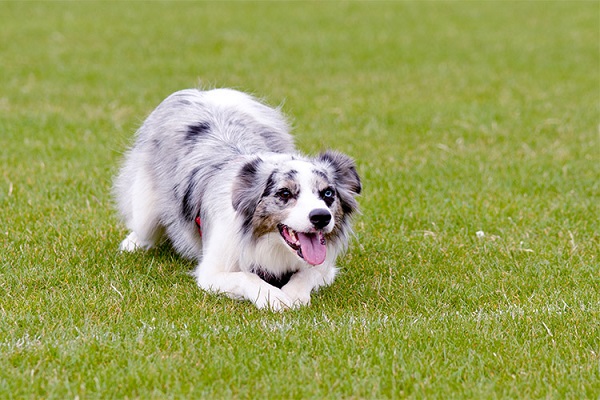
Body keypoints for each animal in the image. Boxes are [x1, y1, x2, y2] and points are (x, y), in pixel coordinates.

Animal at [115, 89, 364, 310]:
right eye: (284, 193)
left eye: (328, 194)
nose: (321, 217)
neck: (268, 243)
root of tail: (204, 93)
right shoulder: (211, 272)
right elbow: (245, 276)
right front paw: (273, 297)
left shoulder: (325, 269)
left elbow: (306, 274)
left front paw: (293, 294)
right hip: (145, 206)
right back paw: (132, 244)